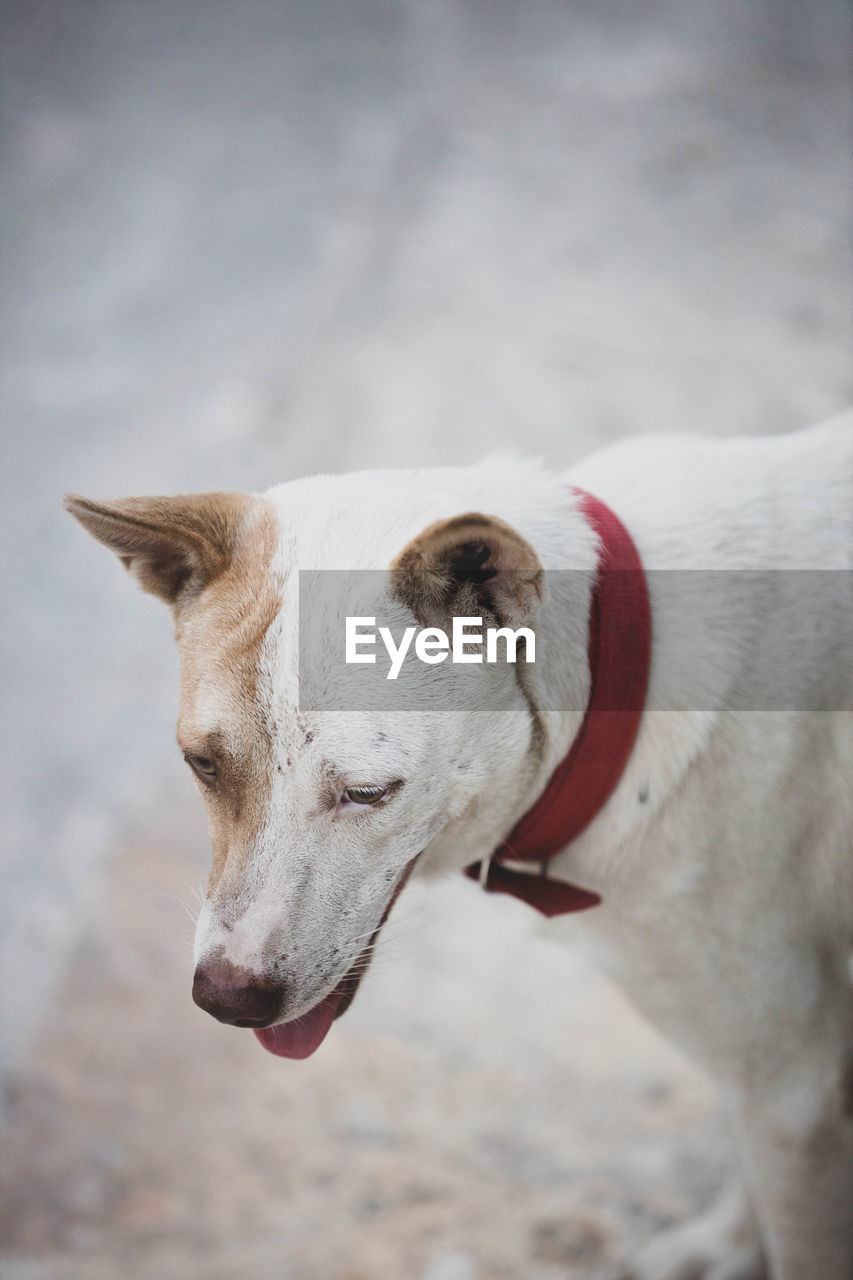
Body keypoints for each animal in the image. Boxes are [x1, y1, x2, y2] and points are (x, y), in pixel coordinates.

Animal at [68, 412, 850, 1280]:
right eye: (202, 765)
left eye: (368, 792)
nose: (226, 998)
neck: (617, 680)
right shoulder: (777, 1076)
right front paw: (724, 1245)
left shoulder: (791, 1080)